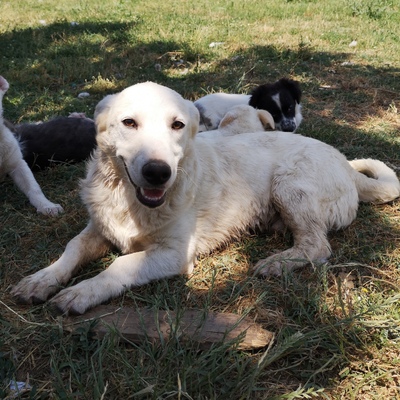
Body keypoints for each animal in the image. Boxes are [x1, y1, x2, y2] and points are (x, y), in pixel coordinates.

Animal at [12, 81, 400, 314]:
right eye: (129, 123)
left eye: (178, 126)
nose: (158, 172)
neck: (131, 202)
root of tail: (346, 165)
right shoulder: (100, 226)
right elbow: (72, 248)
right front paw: (41, 279)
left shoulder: (173, 254)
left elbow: (120, 265)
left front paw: (82, 292)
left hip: (289, 184)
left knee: (317, 246)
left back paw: (277, 262)